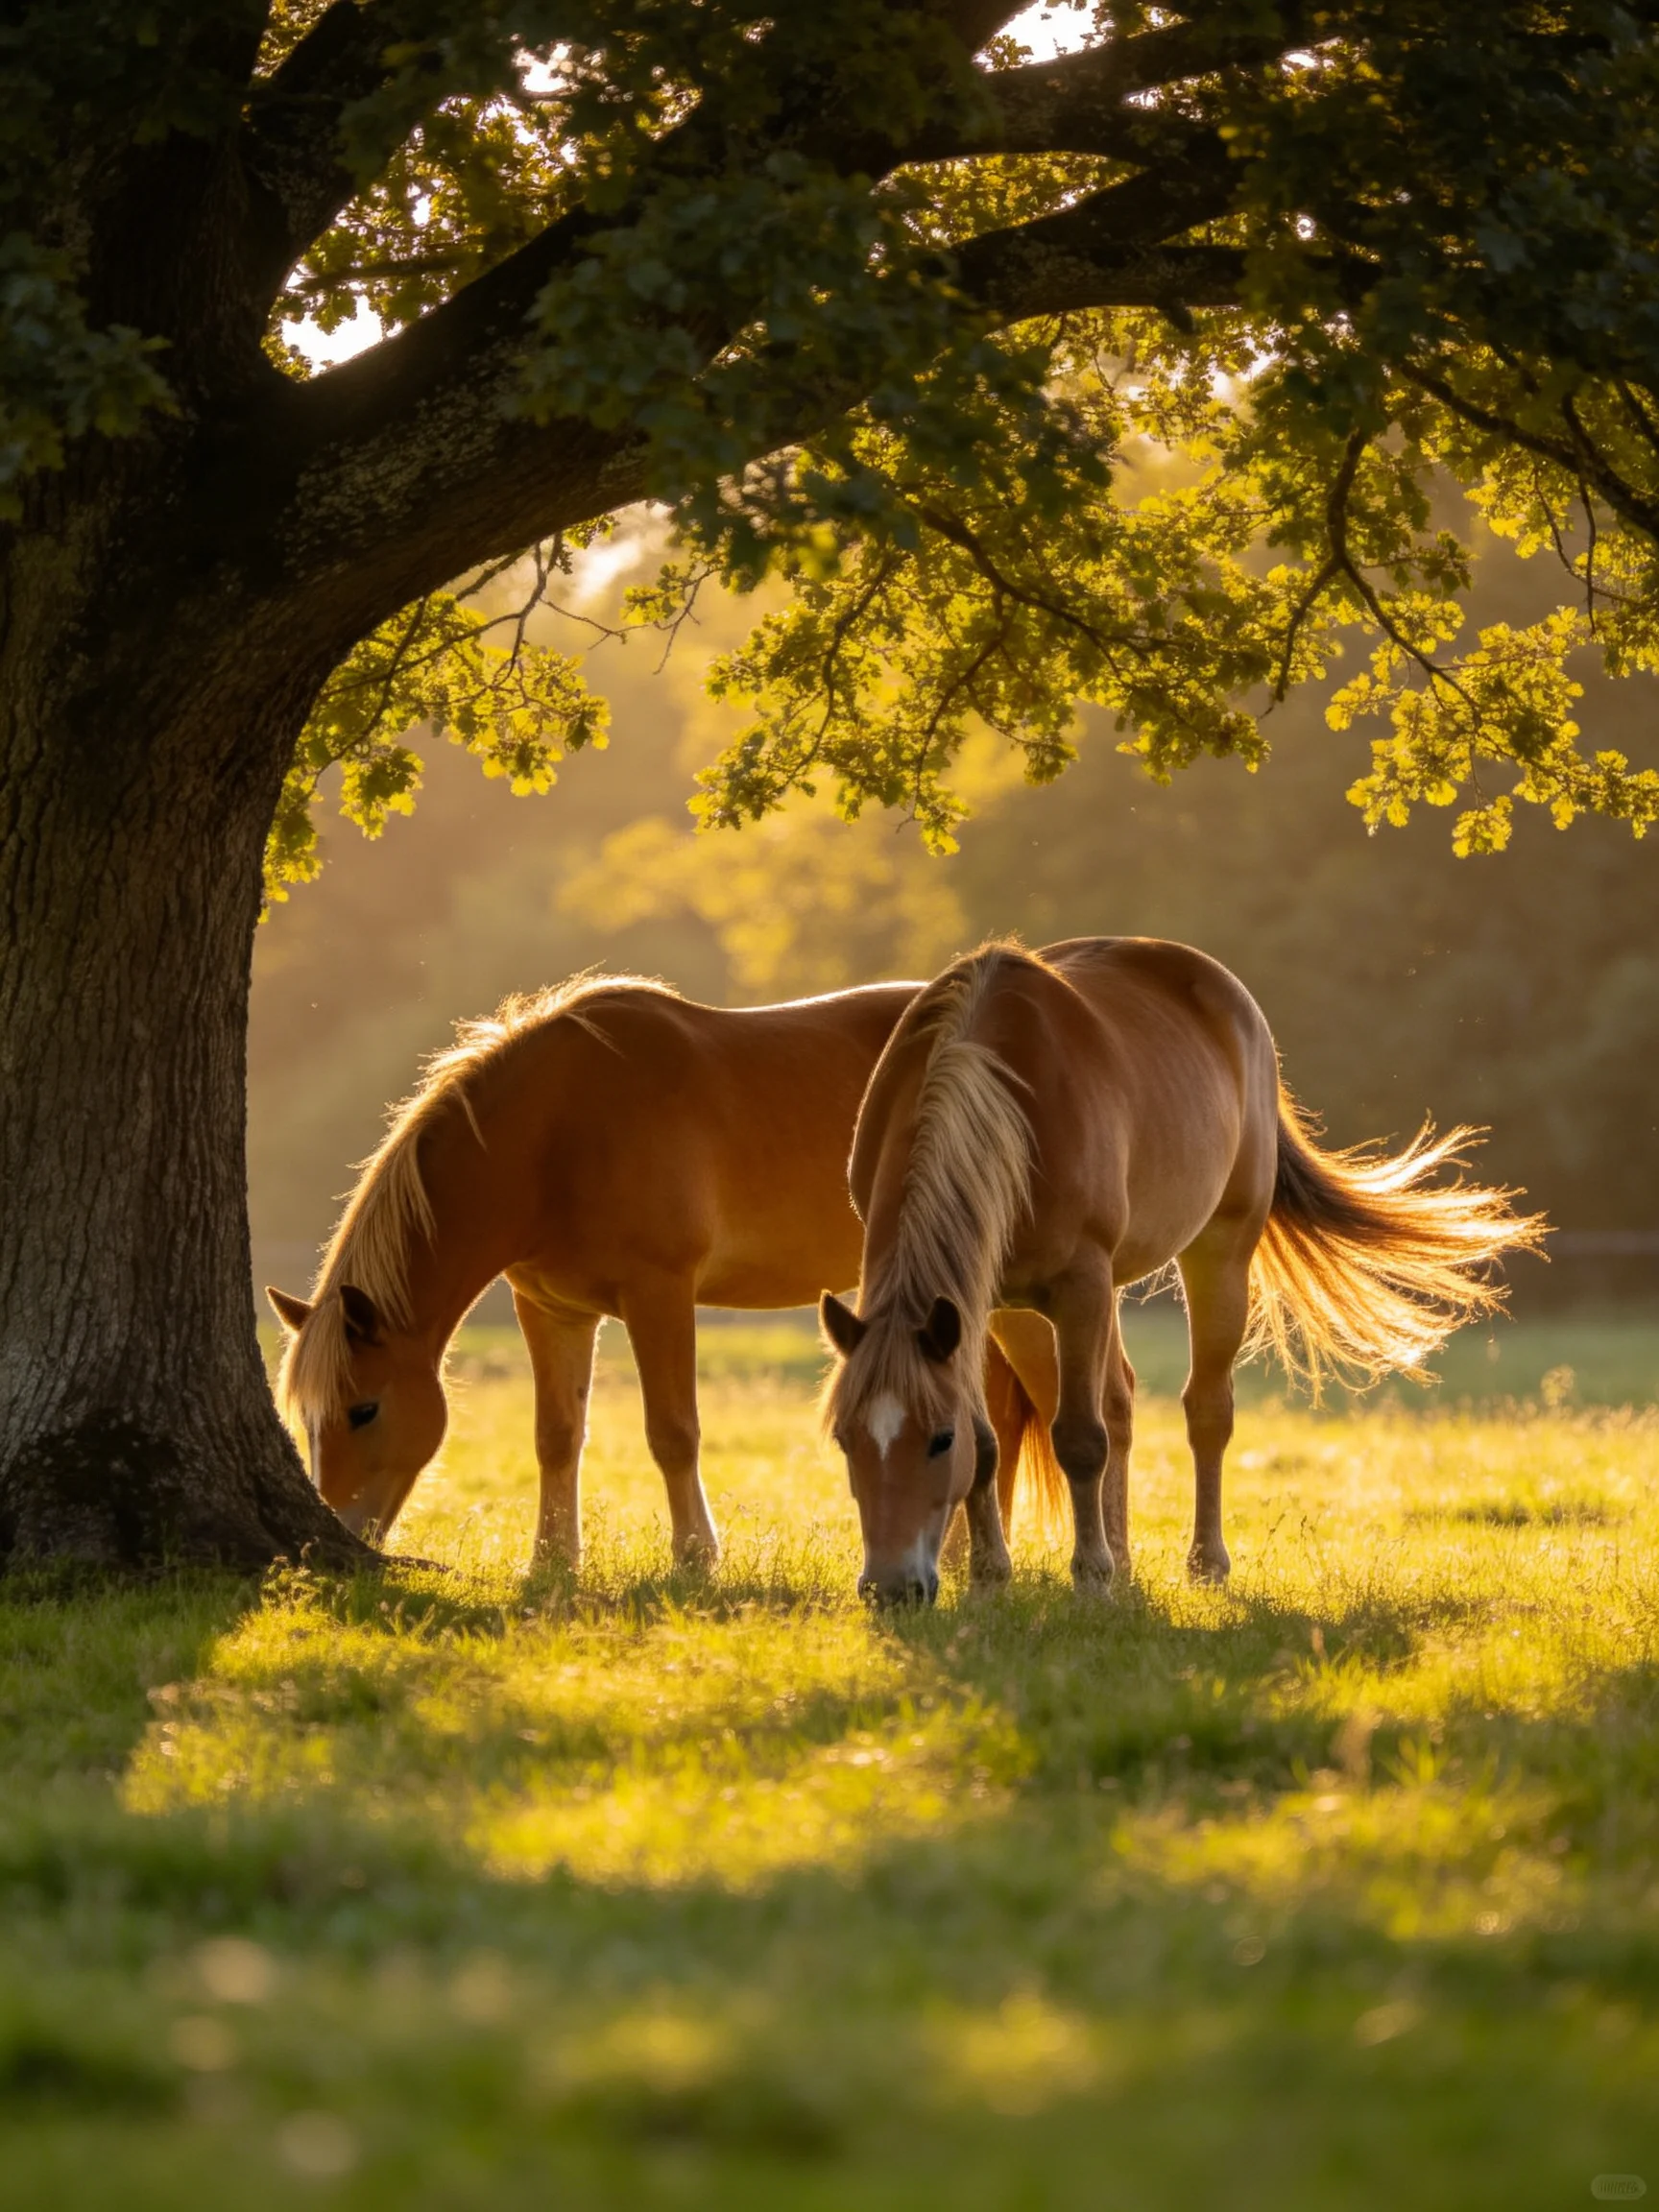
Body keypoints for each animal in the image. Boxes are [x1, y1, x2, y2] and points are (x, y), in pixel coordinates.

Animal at [267, 972, 1040, 1571]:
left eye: (363, 1409)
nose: (333, 1532)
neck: (557, 1130)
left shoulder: (659, 1293)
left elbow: (673, 1432)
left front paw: (696, 1557)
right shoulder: (551, 1310)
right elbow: (556, 1436)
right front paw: (552, 1562)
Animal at [821, 937, 1544, 1605]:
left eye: (936, 1441)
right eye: (844, 1439)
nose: (890, 1589)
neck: (1001, 1096)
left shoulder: (1079, 1285)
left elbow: (1079, 1438)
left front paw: (1090, 1582)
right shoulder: (985, 1303)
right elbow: (994, 1443)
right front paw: (990, 1580)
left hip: (1217, 1253)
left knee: (1205, 1411)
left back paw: (1203, 1564)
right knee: (1119, 1399)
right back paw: (1125, 1560)